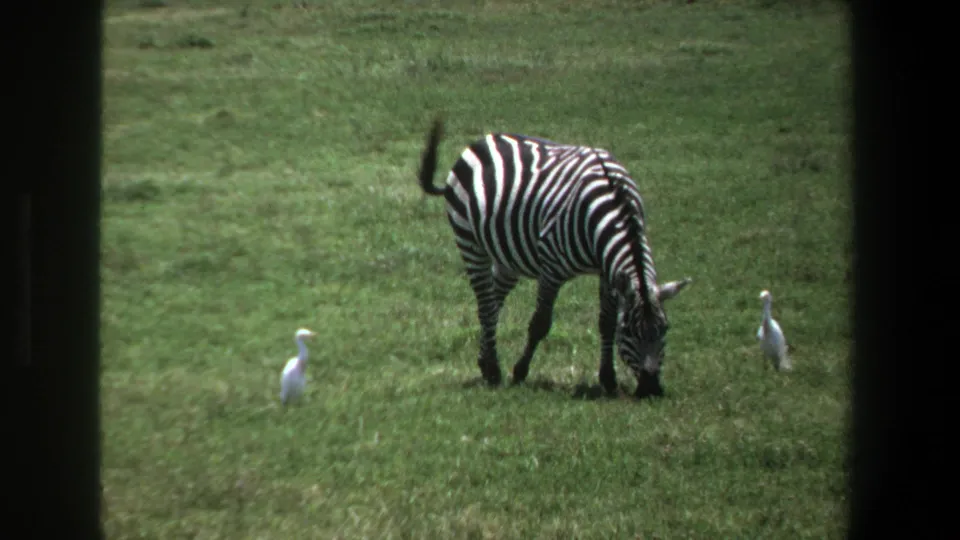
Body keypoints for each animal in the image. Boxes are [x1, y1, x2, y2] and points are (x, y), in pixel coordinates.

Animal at [417, 118, 692, 399]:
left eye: (665, 329)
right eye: (630, 331)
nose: (651, 389)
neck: (615, 205)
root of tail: (484, 139)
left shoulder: (608, 272)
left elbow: (605, 322)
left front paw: (608, 379)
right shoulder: (552, 269)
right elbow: (540, 323)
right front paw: (520, 372)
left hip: (508, 256)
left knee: (494, 299)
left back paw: (485, 362)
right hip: (470, 241)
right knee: (485, 304)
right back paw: (493, 370)